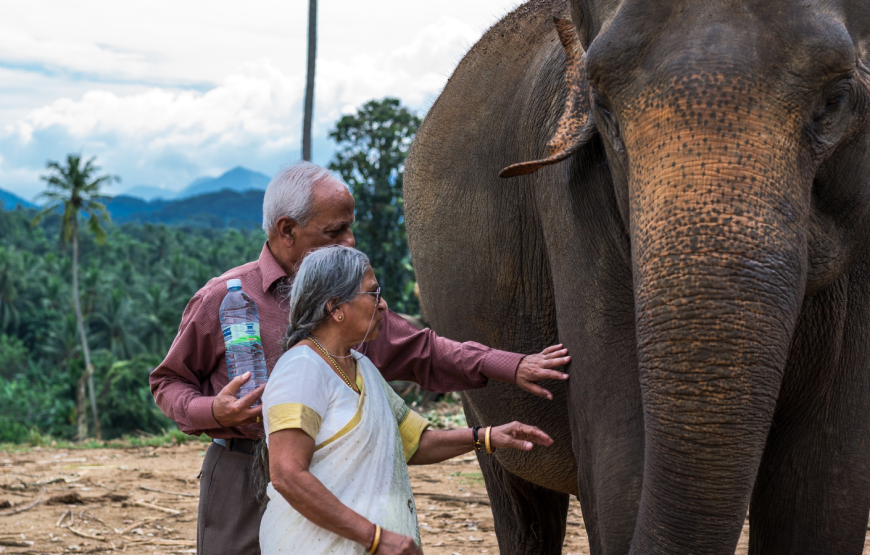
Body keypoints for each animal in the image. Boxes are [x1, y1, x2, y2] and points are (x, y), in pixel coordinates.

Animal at [406, 0, 870, 552]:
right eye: (604, 109)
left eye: (835, 101)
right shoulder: (573, 202)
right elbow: (621, 467)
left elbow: (824, 492)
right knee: (521, 505)